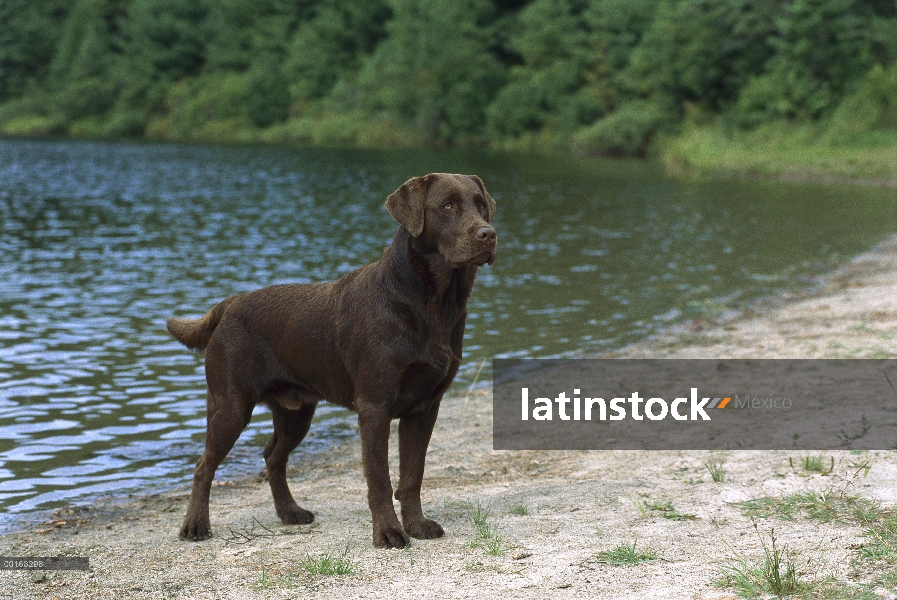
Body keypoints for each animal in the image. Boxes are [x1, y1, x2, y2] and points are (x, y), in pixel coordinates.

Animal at [164, 172, 494, 548]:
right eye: (447, 206)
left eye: (482, 206)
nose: (488, 234)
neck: (432, 304)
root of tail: (231, 303)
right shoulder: (375, 406)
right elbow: (379, 478)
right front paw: (388, 532)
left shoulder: (424, 408)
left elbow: (412, 476)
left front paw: (417, 526)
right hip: (231, 406)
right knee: (204, 466)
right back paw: (195, 526)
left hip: (296, 413)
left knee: (273, 457)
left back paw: (290, 513)